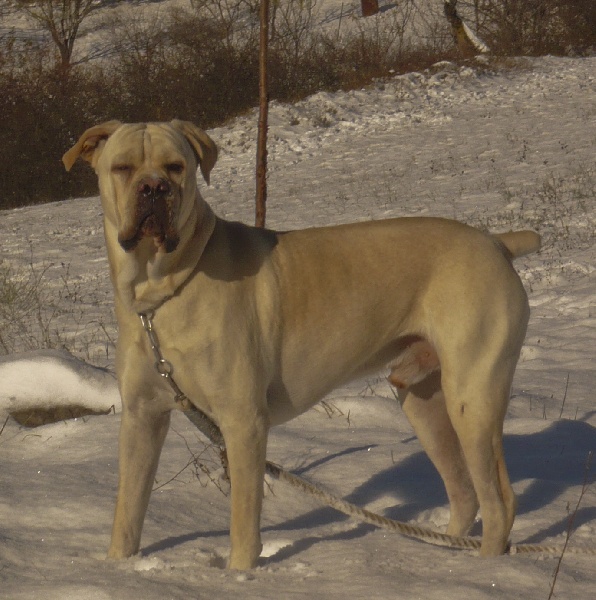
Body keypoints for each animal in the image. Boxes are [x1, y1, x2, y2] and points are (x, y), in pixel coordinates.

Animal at [63, 120, 540, 570]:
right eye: (123, 168)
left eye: (176, 166)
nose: (154, 188)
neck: (159, 291)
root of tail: (496, 243)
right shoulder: (142, 417)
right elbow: (128, 512)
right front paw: (118, 567)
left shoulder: (243, 421)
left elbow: (243, 523)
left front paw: (238, 576)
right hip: (422, 399)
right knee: (463, 492)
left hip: (472, 398)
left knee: (500, 502)